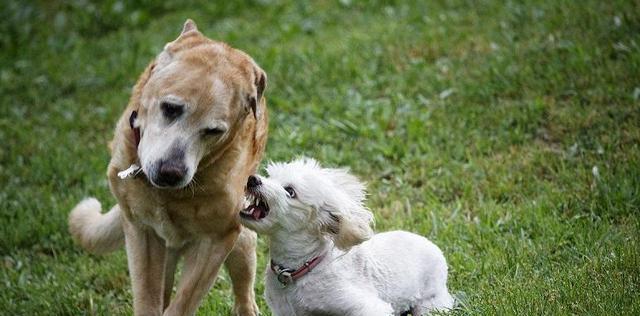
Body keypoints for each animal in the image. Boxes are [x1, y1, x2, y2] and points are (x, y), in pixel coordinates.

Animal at [69, 19, 268, 316]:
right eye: (171, 108)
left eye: (213, 131)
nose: (171, 173)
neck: (170, 196)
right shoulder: (141, 232)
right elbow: (147, 300)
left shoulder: (216, 240)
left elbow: (183, 302)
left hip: (240, 243)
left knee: (244, 290)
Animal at [238, 159, 452, 316]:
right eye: (270, 176)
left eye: (290, 191)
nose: (252, 179)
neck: (299, 269)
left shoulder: (369, 307)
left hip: (431, 303)